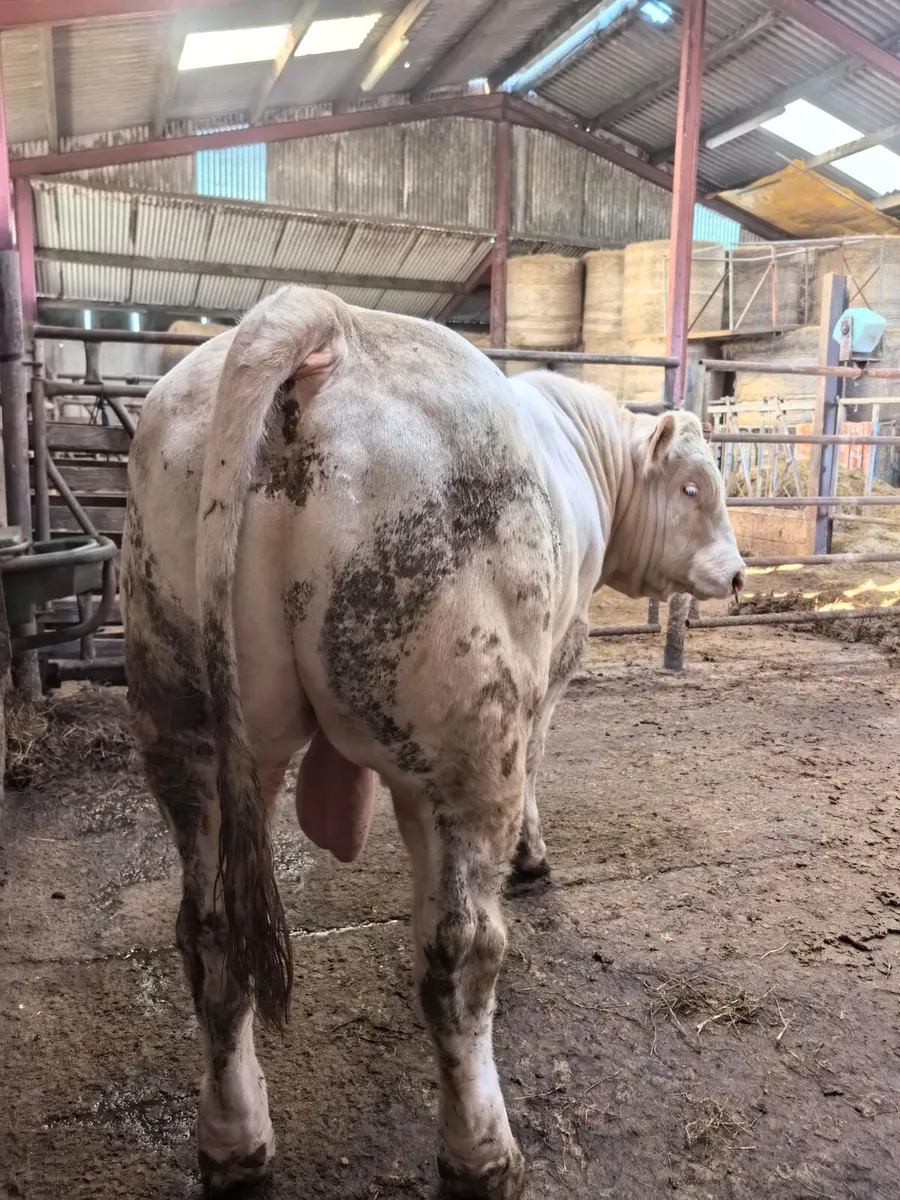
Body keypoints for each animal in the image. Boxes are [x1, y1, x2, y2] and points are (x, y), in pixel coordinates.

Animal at [120, 286, 745, 1199]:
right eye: (697, 487)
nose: (737, 574)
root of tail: (322, 318)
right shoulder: (554, 663)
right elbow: (540, 765)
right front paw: (533, 857)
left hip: (189, 722)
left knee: (210, 935)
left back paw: (235, 1140)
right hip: (467, 735)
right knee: (459, 952)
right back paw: (482, 1153)